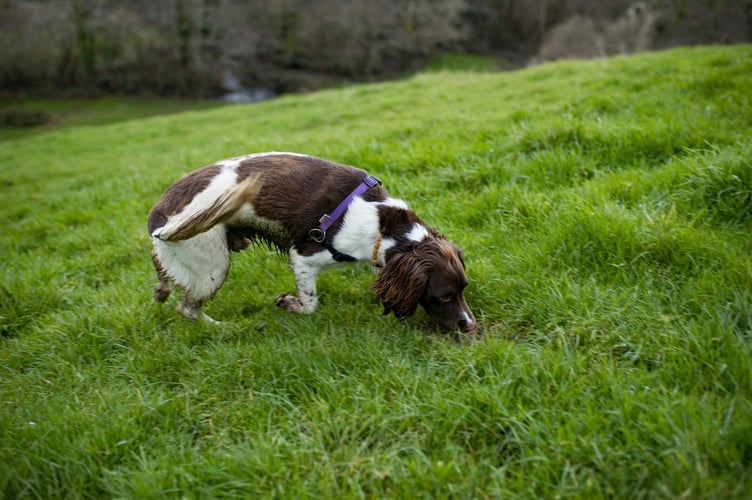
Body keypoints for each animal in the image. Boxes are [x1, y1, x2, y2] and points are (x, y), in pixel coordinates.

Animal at [147, 152, 476, 332]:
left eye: (463, 289)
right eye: (444, 296)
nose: (470, 325)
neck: (384, 224)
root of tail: (158, 223)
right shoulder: (304, 255)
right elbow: (309, 303)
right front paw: (288, 303)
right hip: (212, 266)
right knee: (187, 308)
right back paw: (226, 328)